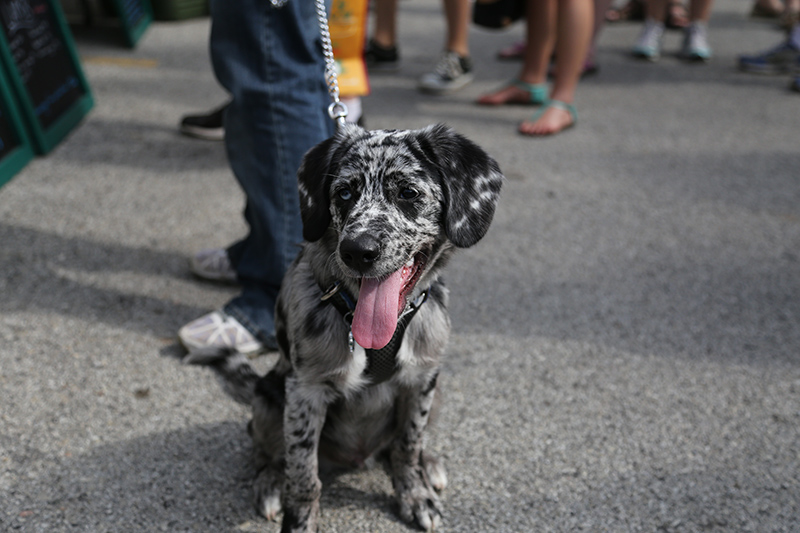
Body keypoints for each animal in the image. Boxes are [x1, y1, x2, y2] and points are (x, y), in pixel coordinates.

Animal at [184, 122, 504, 528]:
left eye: (408, 192)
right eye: (345, 193)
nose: (357, 251)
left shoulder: (422, 380)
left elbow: (407, 445)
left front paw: (414, 494)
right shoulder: (305, 393)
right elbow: (304, 474)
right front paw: (299, 520)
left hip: (437, 392)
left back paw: (427, 464)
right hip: (269, 400)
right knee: (265, 451)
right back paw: (270, 482)